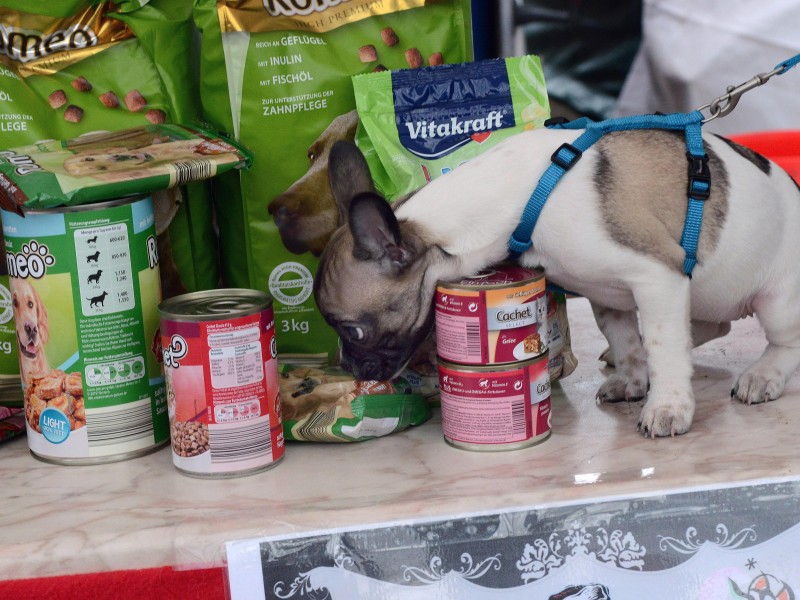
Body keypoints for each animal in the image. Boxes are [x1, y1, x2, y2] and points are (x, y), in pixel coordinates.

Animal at [312, 126, 800, 436]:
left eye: (353, 329)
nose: (348, 367)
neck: (529, 198)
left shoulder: (656, 276)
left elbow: (665, 349)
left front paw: (667, 405)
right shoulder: (608, 293)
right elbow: (625, 338)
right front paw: (633, 376)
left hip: (777, 302)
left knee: (784, 340)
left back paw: (763, 376)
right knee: (714, 324)